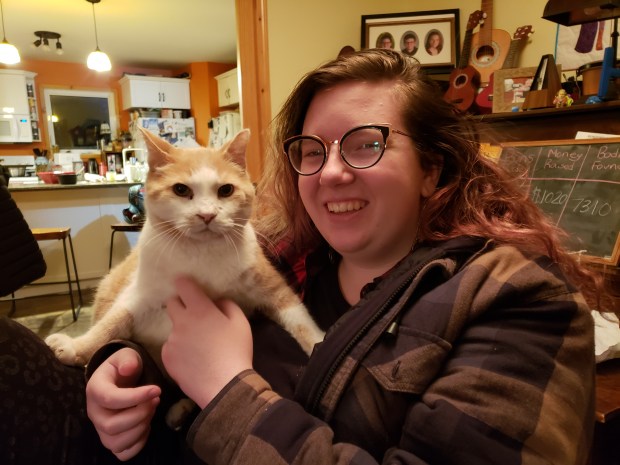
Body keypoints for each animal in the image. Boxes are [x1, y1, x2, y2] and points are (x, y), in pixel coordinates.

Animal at [45, 127, 324, 427]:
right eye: (181, 190)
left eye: (226, 190)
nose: (207, 215)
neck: (201, 253)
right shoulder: (138, 296)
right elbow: (109, 326)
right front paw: (76, 348)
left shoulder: (272, 288)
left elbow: (301, 322)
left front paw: (319, 342)